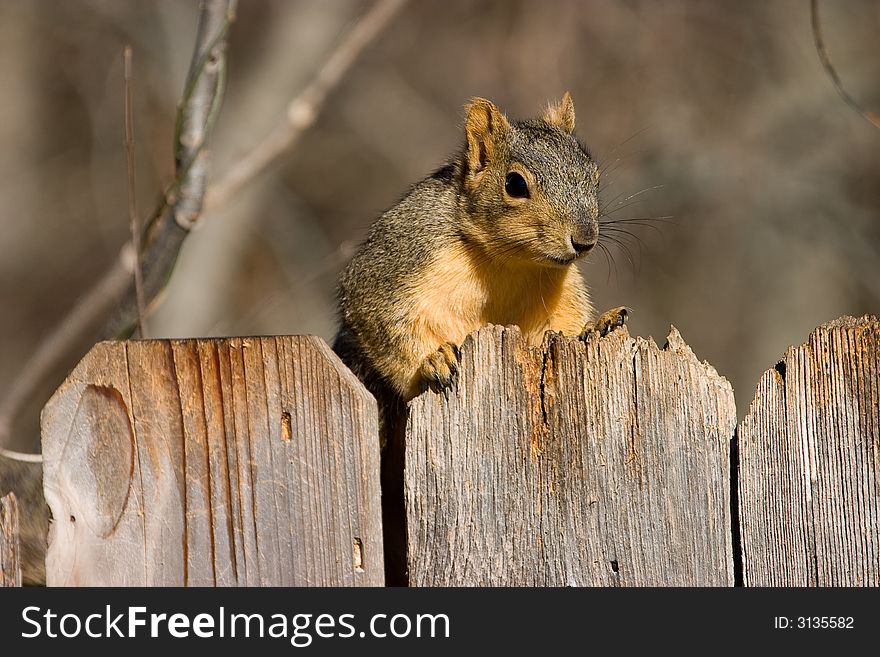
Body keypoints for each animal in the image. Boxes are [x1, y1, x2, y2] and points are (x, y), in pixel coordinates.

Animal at [334, 92, 628, 426]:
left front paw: (596, 325)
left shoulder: (559, 297)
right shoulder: (393, 263)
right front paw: (433, 360)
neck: (507, 261)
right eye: (515, 184)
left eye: (594, 176)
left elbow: (562, 326)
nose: (584, 241)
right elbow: (382, 326)